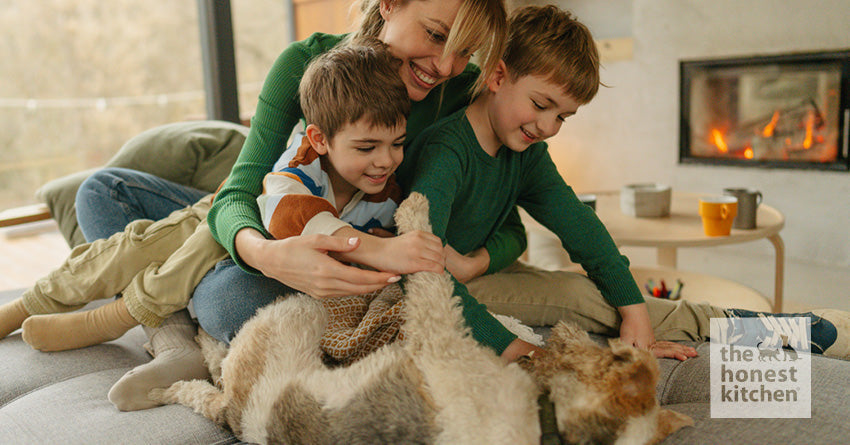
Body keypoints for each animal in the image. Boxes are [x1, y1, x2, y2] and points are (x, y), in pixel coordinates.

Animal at [151, 193, 688, 444]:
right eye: (612, 352)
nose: (567, 335)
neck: (547, 423)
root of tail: (241, 419)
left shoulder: (439, 337)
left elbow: (434, 284)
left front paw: (414, 210)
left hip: (294, 312)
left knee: (214, 371)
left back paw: (184, 367)